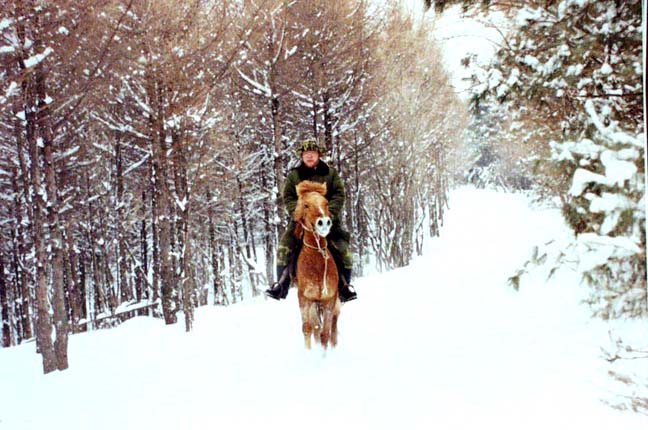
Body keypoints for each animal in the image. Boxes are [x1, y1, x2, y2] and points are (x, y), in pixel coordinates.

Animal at [294, 179, 342, 350]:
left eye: (326, 203)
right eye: (306, 205)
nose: (324, 223)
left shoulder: (329, 300)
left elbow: (325, 334)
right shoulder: (305, 299)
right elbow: (309, 329)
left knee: (333, 327)